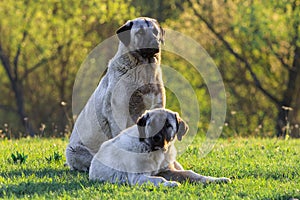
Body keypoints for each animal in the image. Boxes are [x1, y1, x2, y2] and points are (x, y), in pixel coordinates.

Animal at [88, 108, 231, 187]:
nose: (156, 138)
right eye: (151, 124)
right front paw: (170, 183)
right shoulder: (138, 178)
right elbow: (159, 180)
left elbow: (191, 174)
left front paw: (215, 179)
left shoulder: (168, 170)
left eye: (168, 125)